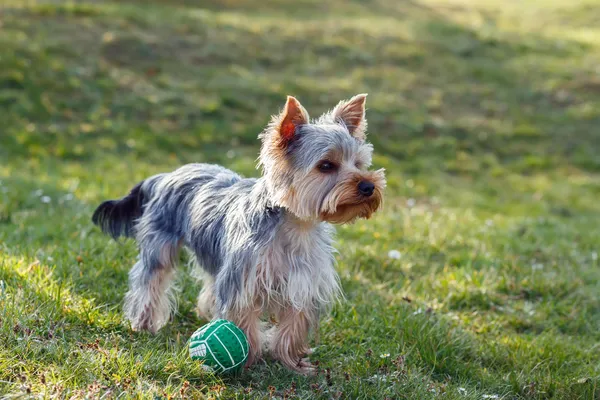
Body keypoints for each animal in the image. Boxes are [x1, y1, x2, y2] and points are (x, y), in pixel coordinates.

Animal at [92, 93, 386, 372]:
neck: (296, 224)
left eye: (359, 163)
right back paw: (144, 323)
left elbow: (293, 325)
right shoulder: (243, 279)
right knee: (150, 279)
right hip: (160, 244)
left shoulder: (303, 281)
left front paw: (292, 362)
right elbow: (243, 321)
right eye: (326, 165)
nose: (368, 186)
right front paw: (246, 361)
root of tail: (166, 175)